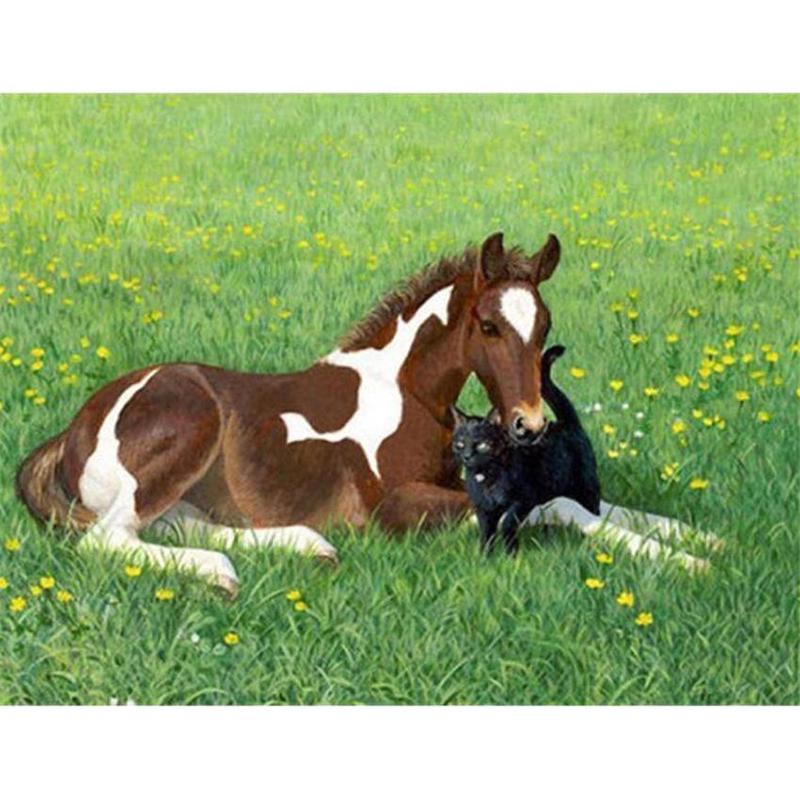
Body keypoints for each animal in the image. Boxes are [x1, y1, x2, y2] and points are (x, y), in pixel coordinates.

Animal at [17, 232, 712, 596]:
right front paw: (686, 562)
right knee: (109, 538)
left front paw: (701, 539)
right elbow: (561, 508)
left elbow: (594, 504)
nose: (531, 426)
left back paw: (311, 545)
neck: (411, 396)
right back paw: (224, 572)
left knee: (182, 526)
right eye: (489, 326)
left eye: (544, 325)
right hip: (189, 428)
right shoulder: (400, 509)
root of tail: (73, 429)